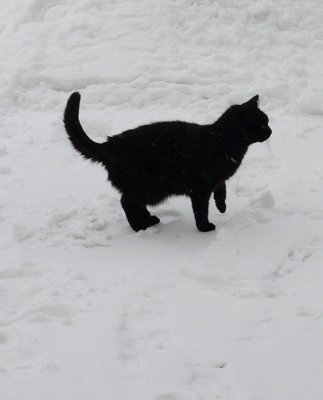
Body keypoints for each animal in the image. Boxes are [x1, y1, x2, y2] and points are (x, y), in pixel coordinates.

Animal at [62, 92, 270, 233]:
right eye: (262, 123)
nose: (271, 131)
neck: (223, 142)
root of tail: (110, 143)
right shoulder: (200, 189)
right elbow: (201, 210)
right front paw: (204, 227)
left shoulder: (218, 180)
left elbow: (222, 191)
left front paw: (222, 207)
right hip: (149, 187)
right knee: (127, 202)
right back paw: (140, 226)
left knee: (134, 204)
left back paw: (149, 220)